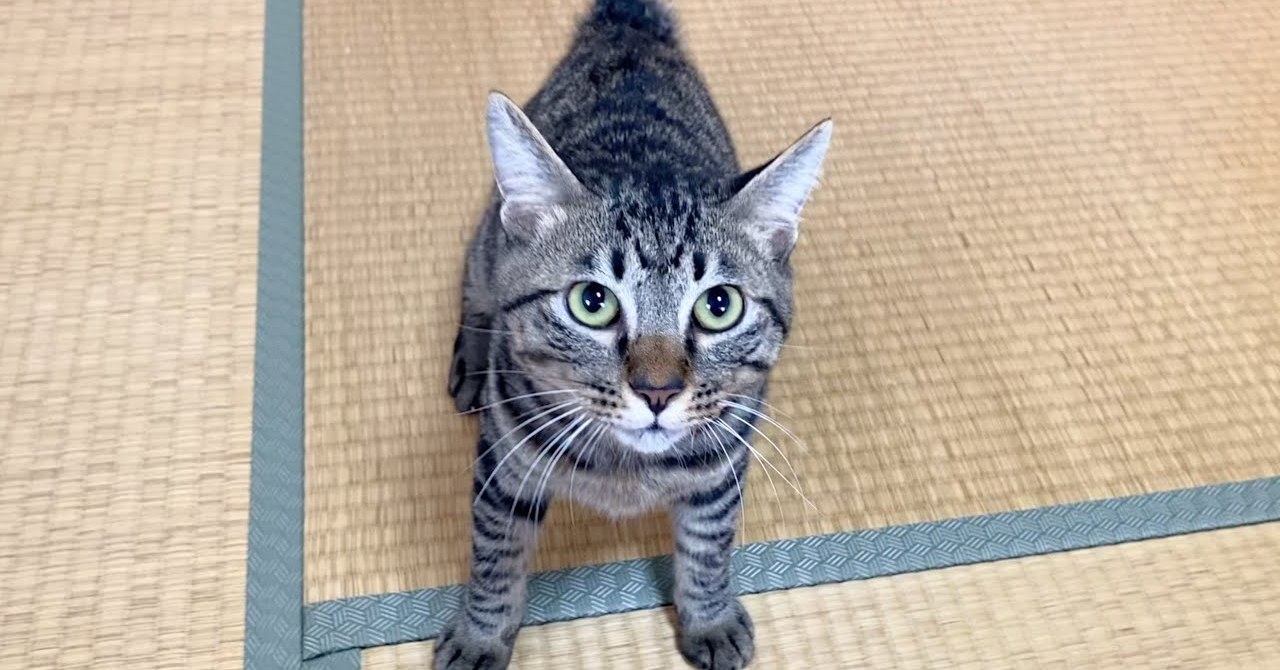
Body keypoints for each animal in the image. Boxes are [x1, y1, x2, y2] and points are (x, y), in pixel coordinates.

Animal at [440, 1, 831, 668]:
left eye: (719, 306)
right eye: (591, 302)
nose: (657, 390)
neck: (625, 472)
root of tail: (627, 26)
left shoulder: (721, 471)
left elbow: (707, 551)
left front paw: (710, 620)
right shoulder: (503, 467)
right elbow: (494, 559)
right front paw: (480, 635)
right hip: (491, 241)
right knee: (477, 276)